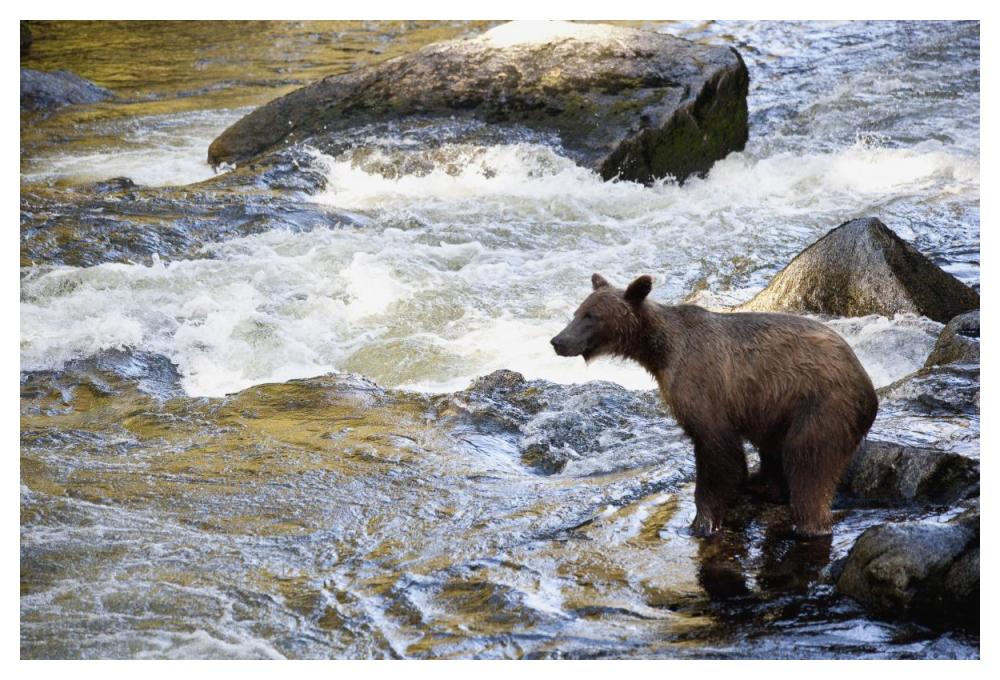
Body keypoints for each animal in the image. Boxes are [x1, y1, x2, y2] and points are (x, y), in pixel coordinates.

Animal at [550, 273, 878, 538]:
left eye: (591, 316)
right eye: (577, 312)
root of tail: (868, 386)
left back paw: (809, 525)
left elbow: (717, 453)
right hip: (778, 409)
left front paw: (702, 522)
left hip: (822, 405)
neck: (660, 352)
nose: (557, 340)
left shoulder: (703, 387)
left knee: (809, 466)